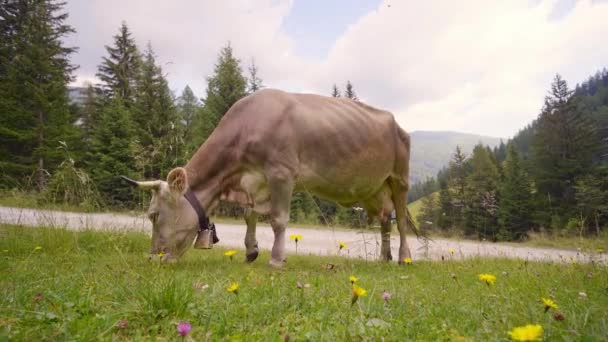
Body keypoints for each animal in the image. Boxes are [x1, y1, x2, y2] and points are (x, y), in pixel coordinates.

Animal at [126, 88, 416, 268]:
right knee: (385, 220)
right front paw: (251, 251)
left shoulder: (281, 173)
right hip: (374, 190)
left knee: (401, 221)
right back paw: (384, 257)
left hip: (399, 178)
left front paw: (276, 259)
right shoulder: (253, 182)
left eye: (154, 215)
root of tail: (396, 122)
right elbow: (249, 215)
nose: (151, 258)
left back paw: (404, 258)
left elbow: (278, 220)